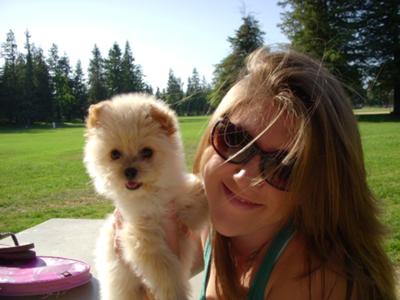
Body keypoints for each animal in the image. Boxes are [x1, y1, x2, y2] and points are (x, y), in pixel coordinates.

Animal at [85, 94, 209, 300]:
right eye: (114, 154)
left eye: (147, 152)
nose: (129, 171)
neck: (153, 195)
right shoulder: (141, 234)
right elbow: (165, 270)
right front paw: (175, 293)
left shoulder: (182, 209)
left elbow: (199, 198)